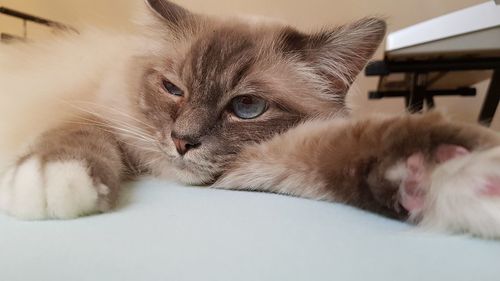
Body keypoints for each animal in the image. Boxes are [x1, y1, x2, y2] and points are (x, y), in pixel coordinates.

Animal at [0, 0, 500, 238]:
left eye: (246, 108)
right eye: (174, 89)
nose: (181, 141)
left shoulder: (254, 162)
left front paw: (459, 175)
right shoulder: (103, 114)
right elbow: (77, 132)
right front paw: (51, 181)